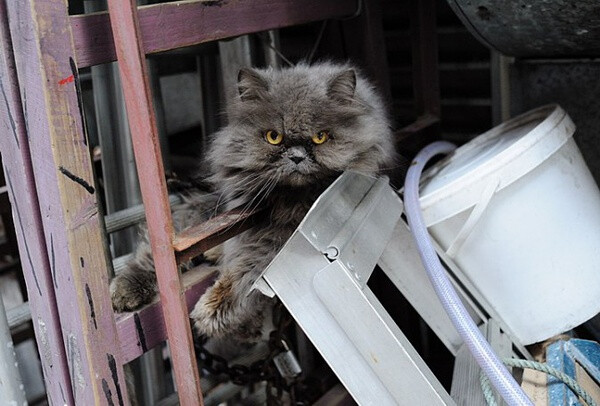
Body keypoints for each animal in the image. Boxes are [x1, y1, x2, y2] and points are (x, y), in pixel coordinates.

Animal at [110, 61, 396, 340]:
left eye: (320, 137)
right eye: (274, 137)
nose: (296, 157)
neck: (289, 200)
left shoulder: (277, 244)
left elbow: (244, 272)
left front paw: (212, 311)